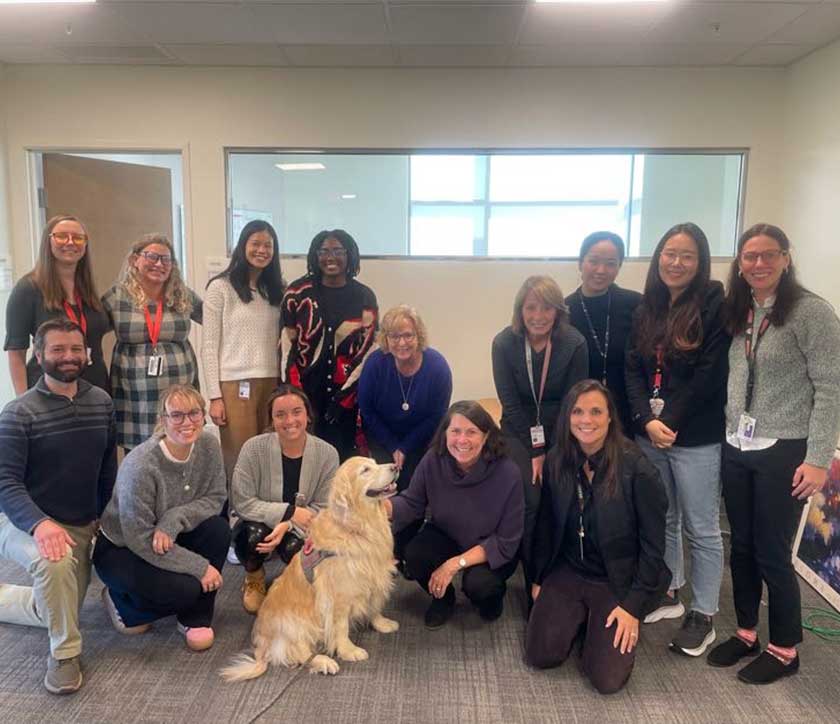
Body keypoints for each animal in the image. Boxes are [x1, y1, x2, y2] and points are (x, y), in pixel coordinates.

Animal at [220, 458, 398, 680]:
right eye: (365, 470)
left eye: (375, 463)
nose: (395, 467)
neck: (357, 526)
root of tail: (261, 643)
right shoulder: (340, 594)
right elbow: (341, 627)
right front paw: (349, 650)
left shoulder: (373, 574)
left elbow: (374, 605)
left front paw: (382, 623)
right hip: (295, 624)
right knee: (300, 653)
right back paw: (325, 662)